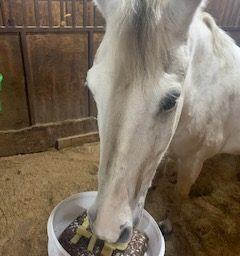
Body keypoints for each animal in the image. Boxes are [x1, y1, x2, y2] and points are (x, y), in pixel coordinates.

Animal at [86, 0, 240, 243]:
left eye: (171, 100)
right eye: (93, 88)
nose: (107, 228)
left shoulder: (193, 161)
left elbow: (181, 194)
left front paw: (168, 224)